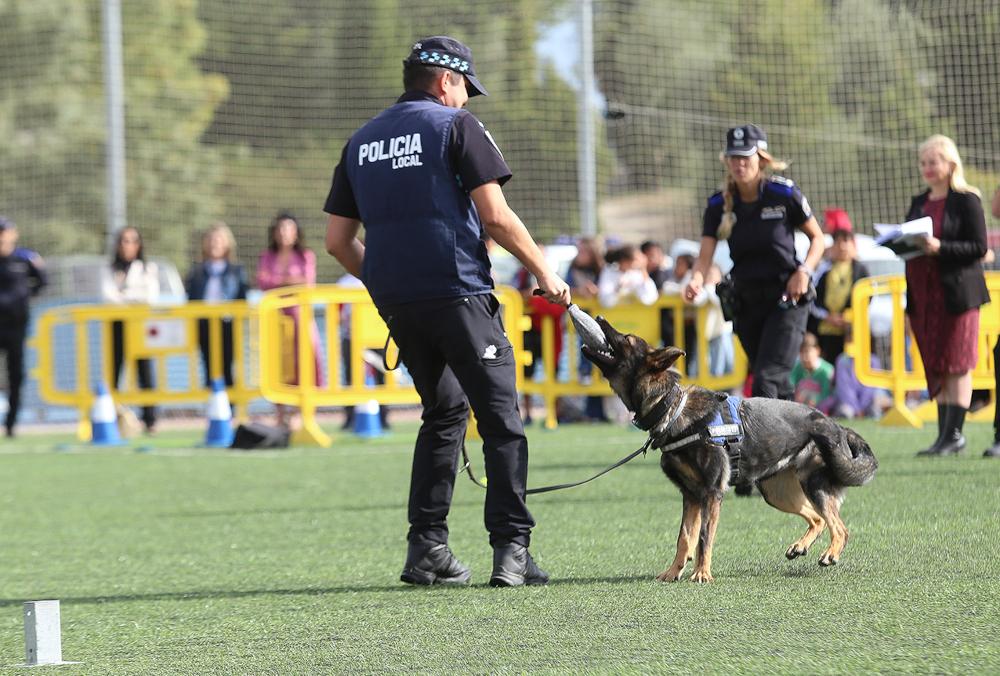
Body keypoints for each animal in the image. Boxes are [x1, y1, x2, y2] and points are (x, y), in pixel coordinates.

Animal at [584, 316, 880, 580]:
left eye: (628, 338)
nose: (598, 316)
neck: (671, 408)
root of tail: (834, 424)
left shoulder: (712, 493)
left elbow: (703, 537)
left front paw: (701, 573)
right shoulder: (691, 496)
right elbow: (684, 537)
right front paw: (674, 571)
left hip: (812, 487)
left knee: (839, 527)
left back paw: (831, 553)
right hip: (776, 492)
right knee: (817, 518)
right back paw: (800, 546)